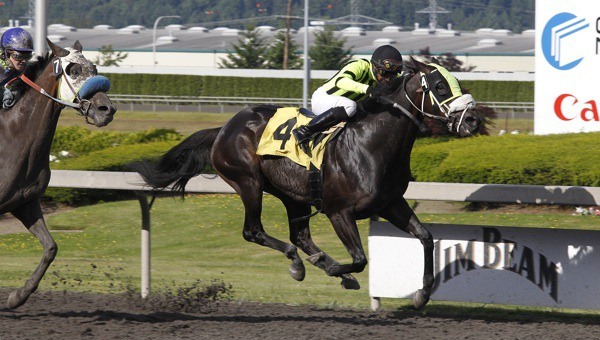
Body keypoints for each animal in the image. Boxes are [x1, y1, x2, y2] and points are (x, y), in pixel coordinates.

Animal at [0, 39, 117, 308]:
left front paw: (17, 296)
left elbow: (51, 248)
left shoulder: (25, 202)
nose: (106, 109)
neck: (14, 140)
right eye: (73, 70)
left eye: (95, 68)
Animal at [134, 59, 480, 310]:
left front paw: (422, 294)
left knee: (299, 236)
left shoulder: (391, 204)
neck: (371, 145)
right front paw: (336, 269)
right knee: (254, 231)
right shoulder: (339, 212)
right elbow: (360, 260)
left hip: (293, 195)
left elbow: (426, 238)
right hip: (248, 182)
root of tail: (223, 128)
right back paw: (300, 264)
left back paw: (315, 261)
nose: (473, 120)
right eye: (439, 86)